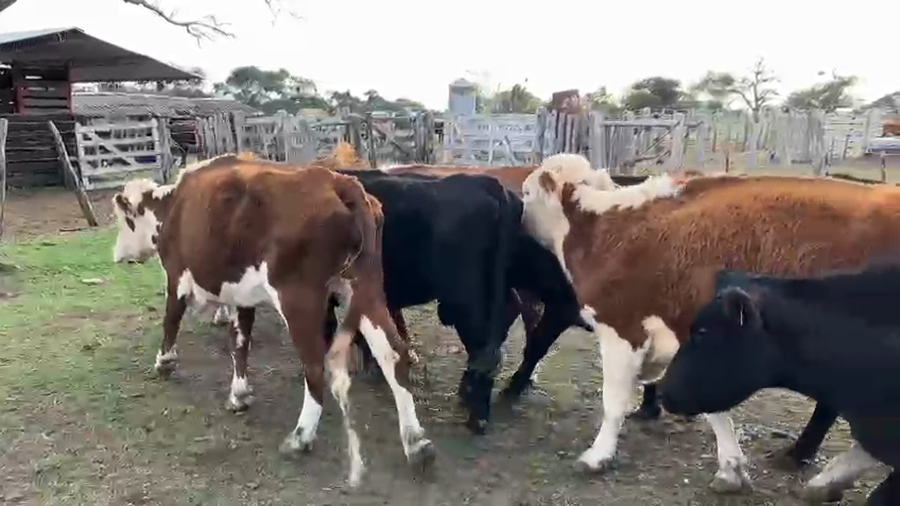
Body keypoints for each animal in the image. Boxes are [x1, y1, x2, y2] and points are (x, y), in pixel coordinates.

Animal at [110, 156, 435, 486]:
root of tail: (340, 183)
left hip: (298, 297)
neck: (172, 204)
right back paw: (416, 443)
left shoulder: (177, 276)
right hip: (365, 288)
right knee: (393, 352)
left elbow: (171, 321)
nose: (117, 256)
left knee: (314, 363)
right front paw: (239, 394)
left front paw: (164, 363)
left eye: (124, 220)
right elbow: (240, 341)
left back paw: (301, 437)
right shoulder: (241, 296)